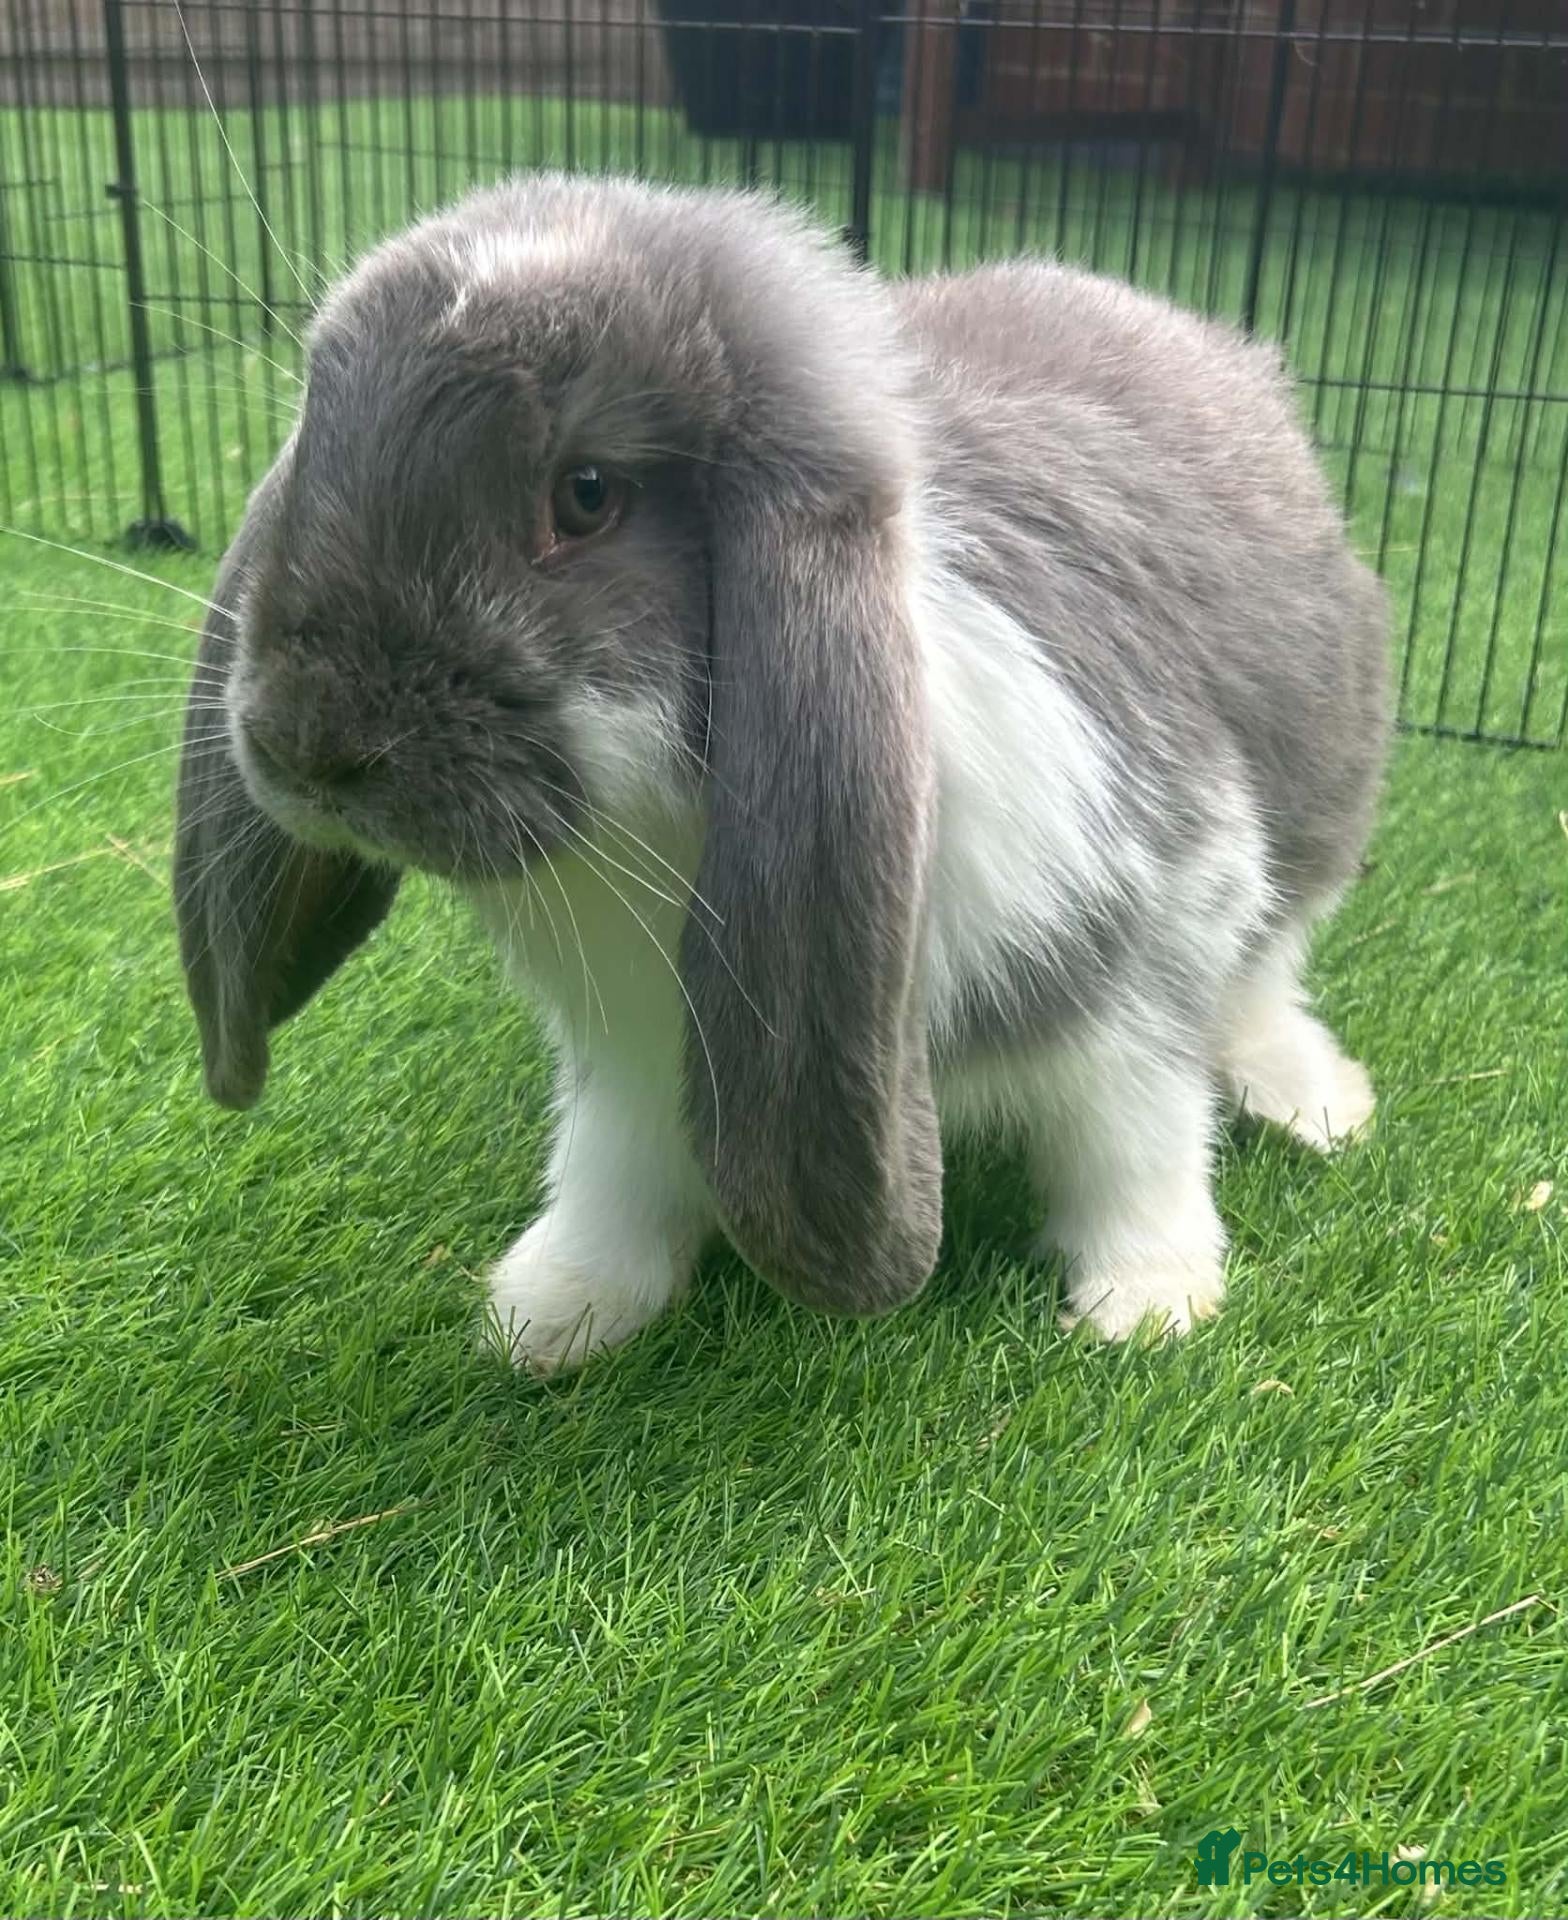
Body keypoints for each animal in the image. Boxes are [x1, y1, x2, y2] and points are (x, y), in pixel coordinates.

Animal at [175, 173, 1389, 1373]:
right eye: (317, 445)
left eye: (586, 493)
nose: (308, 745)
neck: (646, 839)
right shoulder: (634, 1059)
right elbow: (611, 1183)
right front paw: (548, 1316)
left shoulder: (1153, 946)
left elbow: (1135, 1148)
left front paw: (1147, 1308)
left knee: (1262, 982)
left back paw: (1317, 1107)